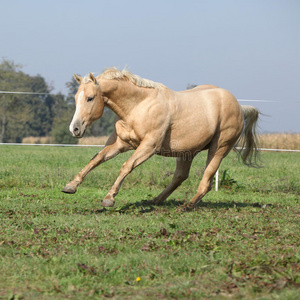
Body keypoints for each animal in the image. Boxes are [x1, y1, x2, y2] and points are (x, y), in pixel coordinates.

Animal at [61, 68, 260, 209]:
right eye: (76, 98)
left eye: (90, 98)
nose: (75, 129)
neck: (138, 106)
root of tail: (239, 107)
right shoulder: (120, 144)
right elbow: (96, 159)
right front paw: (71, 186)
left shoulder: (149, 146)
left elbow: (126, 166)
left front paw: (108, 199)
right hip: (187, 152)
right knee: (180, 176)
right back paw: (155, 200)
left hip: (218, 149)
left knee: (207, 181)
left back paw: (187, 206)